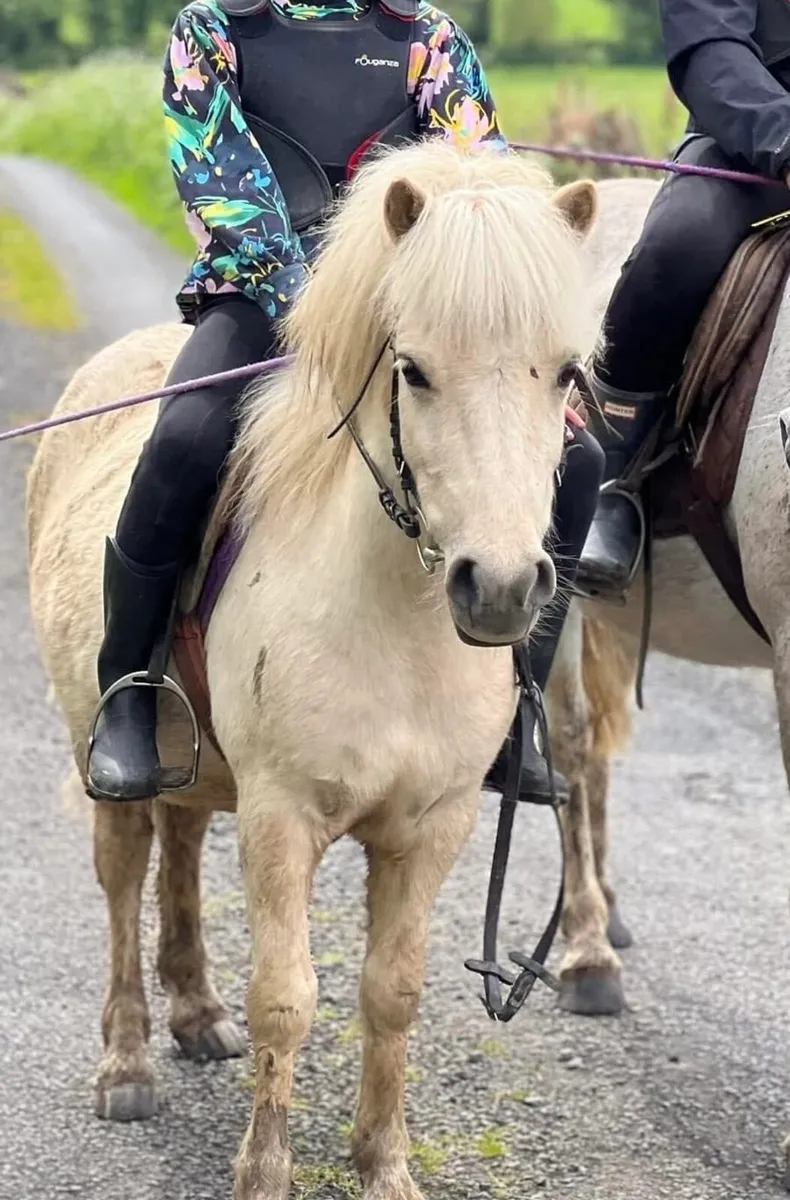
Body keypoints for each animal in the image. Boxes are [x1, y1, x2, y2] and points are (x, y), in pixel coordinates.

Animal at [25, 139, 598, 1200]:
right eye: (413, 371)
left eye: (567, 373)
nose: (499, 587)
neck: (395, 623)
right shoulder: (282, 815)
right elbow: (287, 998)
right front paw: (264, 1172)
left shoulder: (433, 825)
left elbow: (393, 993)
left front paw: (383, 1164)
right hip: (106, 745)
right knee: (124, 875)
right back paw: (127, 1062)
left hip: (197, 757)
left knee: (179, 842)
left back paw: (198, 1013)